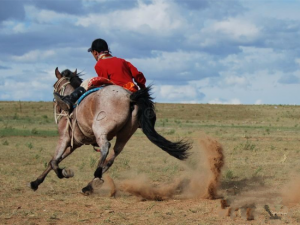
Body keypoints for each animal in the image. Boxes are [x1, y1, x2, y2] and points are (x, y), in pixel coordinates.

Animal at [29, 67, 191, 195]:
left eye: (54, 85)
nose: (58, 107)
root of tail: (130, 97)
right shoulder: (75, 143)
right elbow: (53, 161)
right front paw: (35, 182)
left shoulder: (64, 138)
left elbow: (54, 161)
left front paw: (64, 172)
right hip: (125, 135)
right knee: (111, 158)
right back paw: (90, 185)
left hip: (100, 130)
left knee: (105, 148)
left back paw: (96, 177)